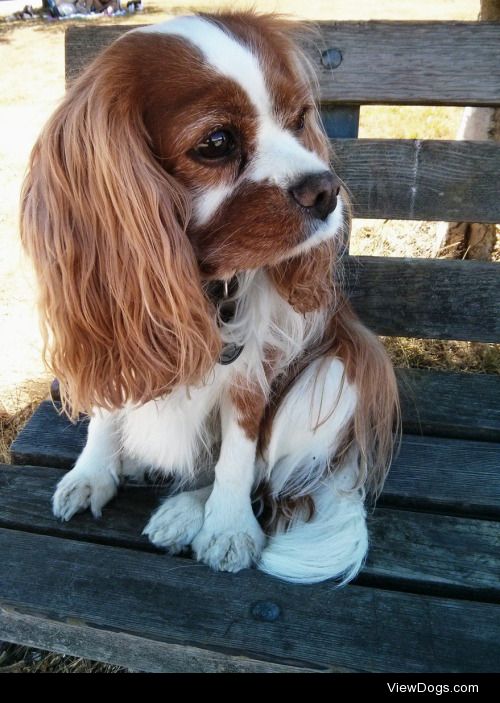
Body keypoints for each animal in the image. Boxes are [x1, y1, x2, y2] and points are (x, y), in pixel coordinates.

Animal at [20, 11, 398, 584]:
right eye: (217, 142)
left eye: (299, 120)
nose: (327, 190)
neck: (207, 282)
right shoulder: (117, 337)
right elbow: (108, 412)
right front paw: (93, 472)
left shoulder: (253, 370)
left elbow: (239, 457)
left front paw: (227, 528)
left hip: (339, 369)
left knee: (264, 472)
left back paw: (185, 511)